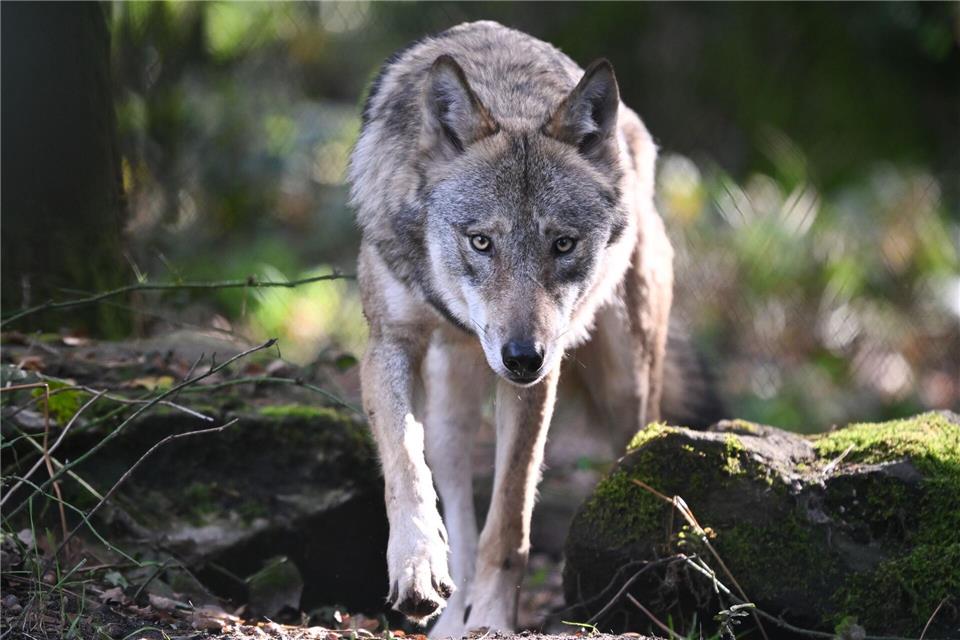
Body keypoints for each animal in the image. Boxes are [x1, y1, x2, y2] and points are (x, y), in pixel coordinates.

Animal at [348, 20, 709, 637]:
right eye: (481, 241)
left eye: (562, 244)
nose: (521, 356)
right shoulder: (389, 343)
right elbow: (404, 464)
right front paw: (418, 568)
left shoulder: (540, 378)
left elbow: (509, 522)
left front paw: (494, 621)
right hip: (451, 410)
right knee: (452, 497)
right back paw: (451, 614)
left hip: (627, 383)